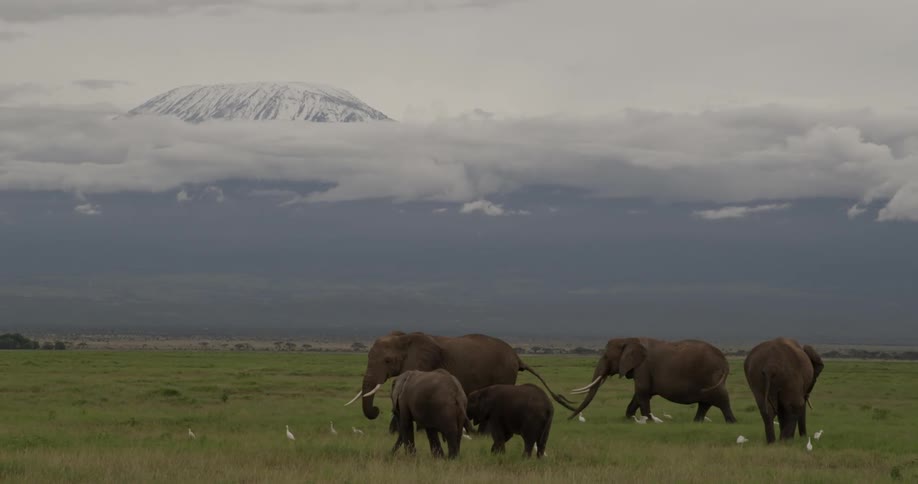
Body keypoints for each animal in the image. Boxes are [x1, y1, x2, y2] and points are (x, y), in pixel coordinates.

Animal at [569, 338, 737, 423]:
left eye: (605, 356)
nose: (568, 418)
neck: (630, 340)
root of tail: (724, 360)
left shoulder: (643, 366)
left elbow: (642, 391)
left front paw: (648, 421)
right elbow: (639, 395)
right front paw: (630, 419)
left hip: (711, 374)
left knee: (720, 398)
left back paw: (731, 422)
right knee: (705, 402)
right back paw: (697, 422)